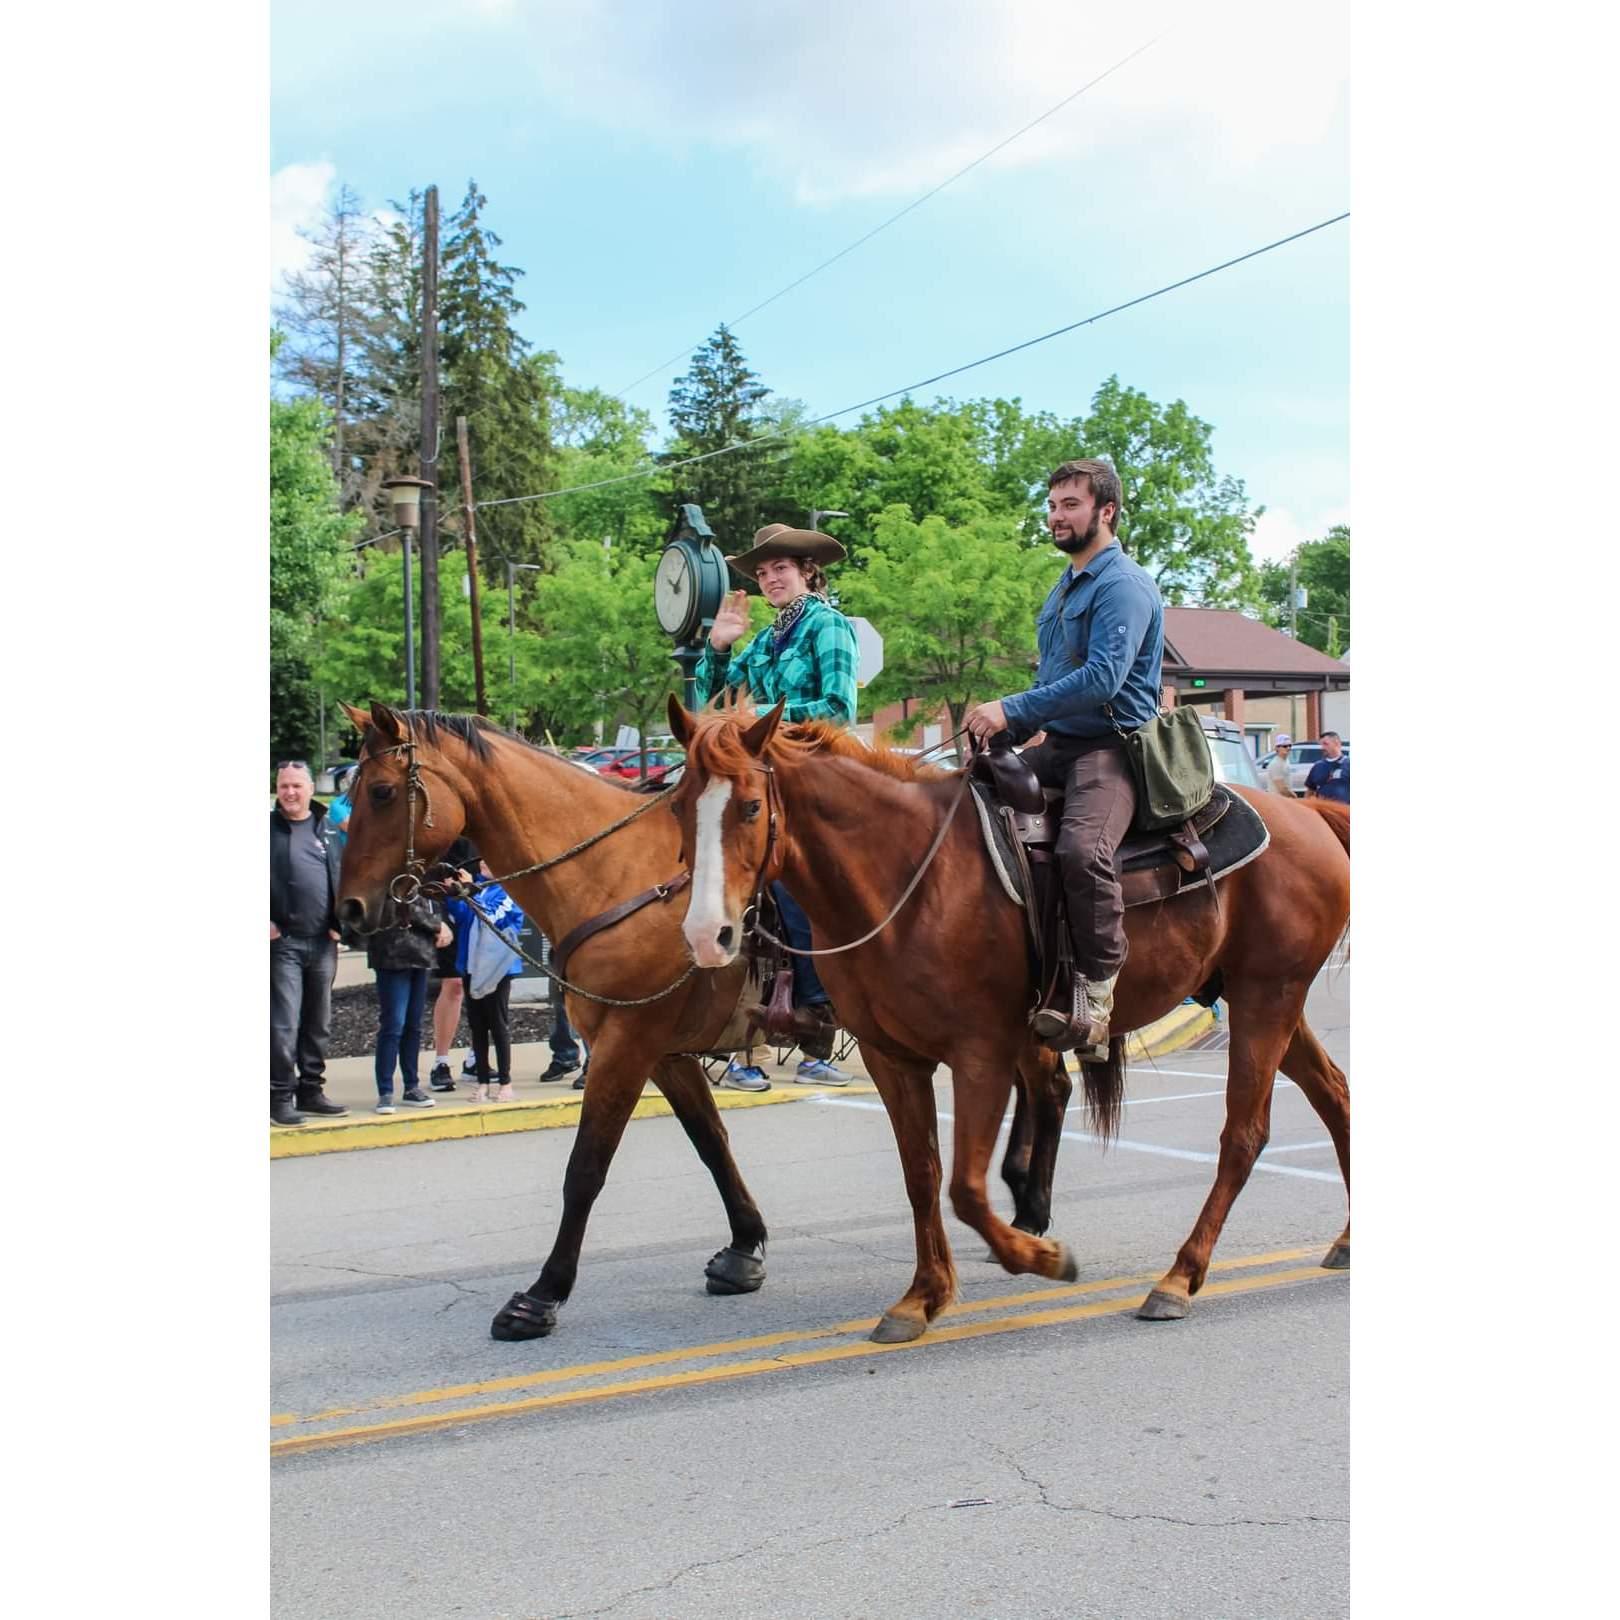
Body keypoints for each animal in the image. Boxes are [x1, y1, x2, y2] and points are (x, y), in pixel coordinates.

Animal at [664, 699, 1347, 1341]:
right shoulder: (892, 1059)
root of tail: (1308, 815)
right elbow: (923, 1175)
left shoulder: (981, 1054)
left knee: (1243, 1135)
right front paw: (923, 1296)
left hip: (1266, 999)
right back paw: (1343, 1241)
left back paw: (1178, 1278)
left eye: (751, 807)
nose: (704, 935)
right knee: (1334, 1095)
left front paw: (1040, 1258)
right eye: (679, 808)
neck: (906, 875)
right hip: (1266, 1000)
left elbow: (966, 1188)